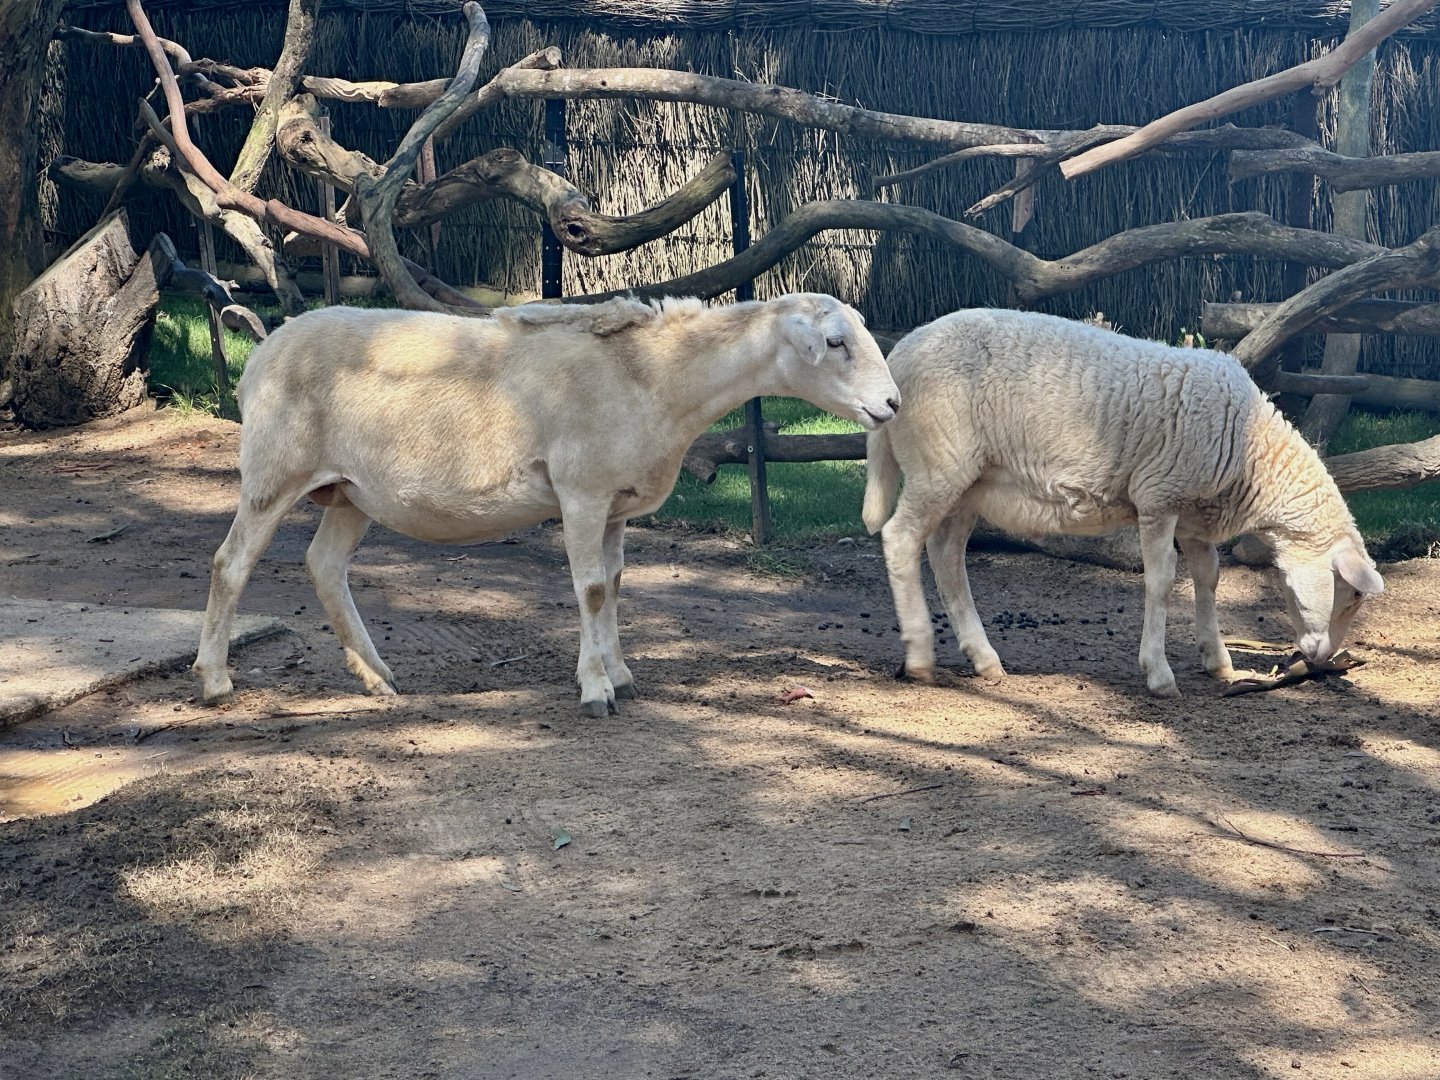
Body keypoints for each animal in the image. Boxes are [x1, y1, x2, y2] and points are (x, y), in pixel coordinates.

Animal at [194, 293, 900, 715]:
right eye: (836, 342)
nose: (892, 404)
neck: (656, 381)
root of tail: (262, 351)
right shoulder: (581, 491)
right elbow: (590, 588)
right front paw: (595, 690)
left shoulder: (616, 502)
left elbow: (615, 584)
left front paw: (620, 673)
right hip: (274, 470)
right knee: (231, 563)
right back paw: (215, 679)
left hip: (350, 491)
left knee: (324, 566)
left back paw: (376, 676)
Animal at [862, 308, 1383, 697]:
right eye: (1352, 595)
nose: (1321, 658)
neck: (1251, 448)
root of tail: (899, 357)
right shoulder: (1159, 497)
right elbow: (1161, 582)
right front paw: (1159, 673)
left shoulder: (1194, 514)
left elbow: (1208, 579)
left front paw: (1218, 660)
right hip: (938, 464)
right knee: (901, 538)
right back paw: (920, 655)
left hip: (969, 482)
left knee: (946, 555)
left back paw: (984, 658)